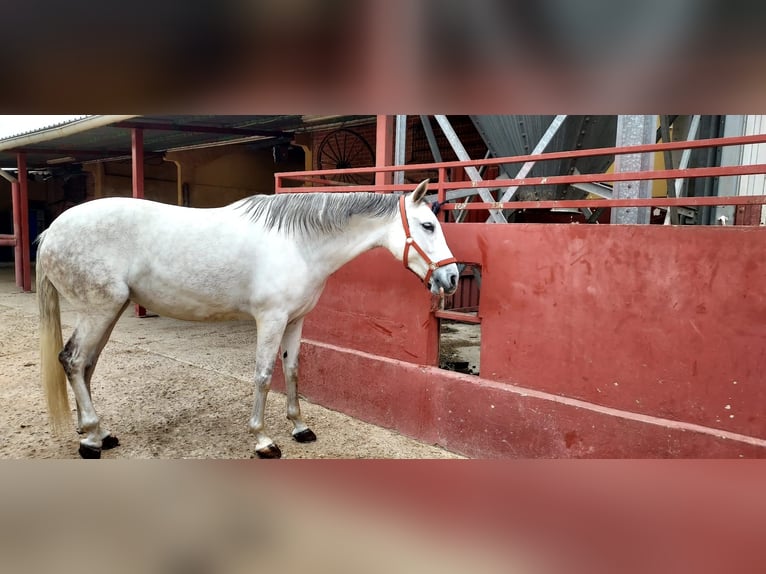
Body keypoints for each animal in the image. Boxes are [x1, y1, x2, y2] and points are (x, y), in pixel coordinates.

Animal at [37, 180, 456, 460]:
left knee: (86, 367)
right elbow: (264, 375)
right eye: (428, 226)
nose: (451, 278)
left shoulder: (295, 321)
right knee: (73, 361)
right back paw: (91, 440)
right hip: (99, 311)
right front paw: (263, 440)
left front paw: (300, 427)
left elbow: (292, 371)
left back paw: (97, 433)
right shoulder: (270, 319)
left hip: (109, 312)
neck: (298, 244)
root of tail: (51, 231)